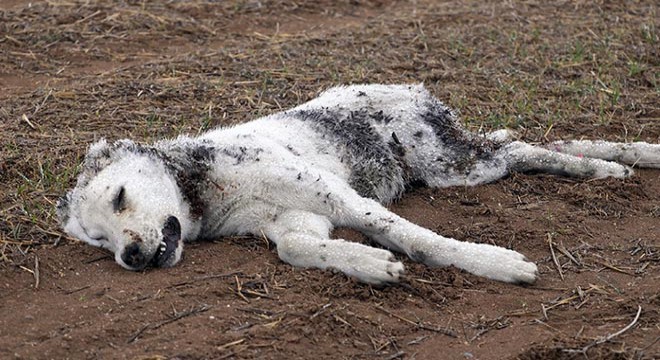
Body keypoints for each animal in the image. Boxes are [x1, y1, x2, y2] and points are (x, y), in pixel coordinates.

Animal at [58, 83, 660, 284]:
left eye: (120, 197)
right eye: (98, 240)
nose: (131, 258)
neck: (208, 182)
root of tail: (413, 89)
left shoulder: (335, 195)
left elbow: (419, 238)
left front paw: (495, 263)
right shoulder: (297, 221)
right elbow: (299, 249)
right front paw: (369, 264)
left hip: (453, 166)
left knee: (523, 150)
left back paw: (603, 169)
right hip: (459, 158)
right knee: (523, 141)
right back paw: (626, 159)